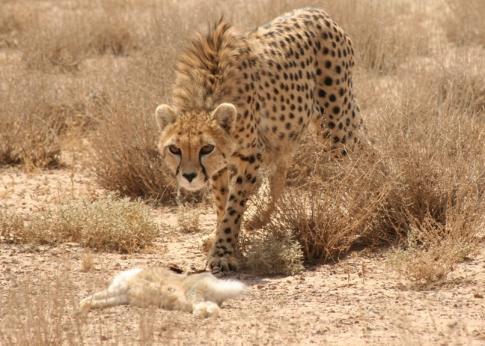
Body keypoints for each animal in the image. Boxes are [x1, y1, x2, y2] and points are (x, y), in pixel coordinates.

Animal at [81, 268, 246, 316]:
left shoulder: (121, 289)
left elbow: (98, 295)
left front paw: (81, 304)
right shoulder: (121, 294)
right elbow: (101, 299)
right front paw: (84, 305)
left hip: (193, 292)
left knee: (200, 304)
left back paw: (199, 314)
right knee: (211, 306)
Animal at [155, 7, 364, 274]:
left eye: (206, 148)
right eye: (174, 149)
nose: (189, 176)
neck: (205, 96)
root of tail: (316, 10)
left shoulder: (248, 157)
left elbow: (234, 206)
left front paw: (223, 253)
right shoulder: (222, 164)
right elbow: (222, 203)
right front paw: (226, 243)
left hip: (336, 122)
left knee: (364, 158)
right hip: (287, 131)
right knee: (280, 170)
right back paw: (258, 216)